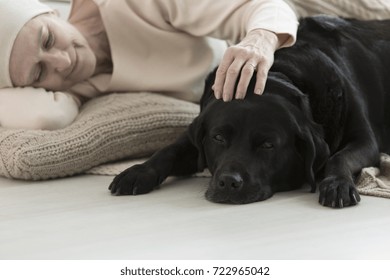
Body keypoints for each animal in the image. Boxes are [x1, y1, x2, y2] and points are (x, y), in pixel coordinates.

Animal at [108, 15, 390, 208]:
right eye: (218, 138)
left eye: (268, 145)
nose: (228, 182)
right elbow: (169, 150)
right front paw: (138, 171)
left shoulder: (365, 141)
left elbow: (338, 157)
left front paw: (337, 184)